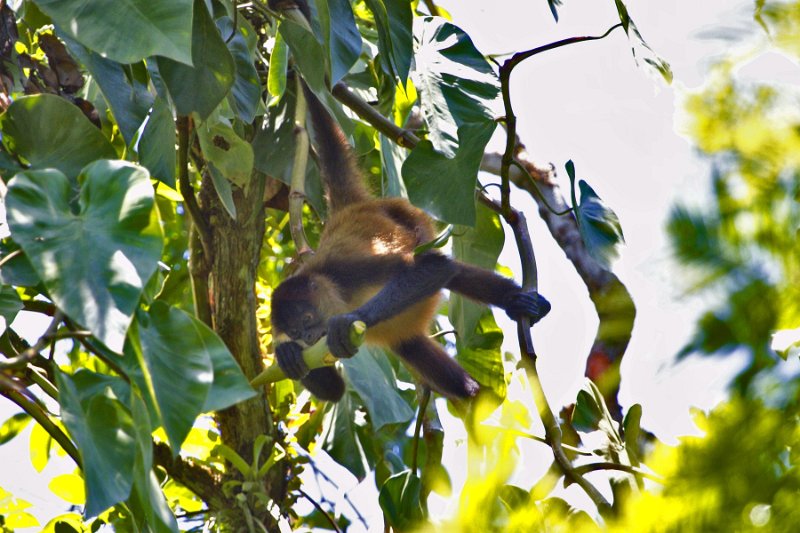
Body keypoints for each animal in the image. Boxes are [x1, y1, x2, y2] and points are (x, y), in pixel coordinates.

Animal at [270, 82, 552, 400]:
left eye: (307, 319)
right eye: (295, 332)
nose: (306, 337)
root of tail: (351, 208)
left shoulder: (346, 271)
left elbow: (432, 267)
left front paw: (349, 321)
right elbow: (335, 392)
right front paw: (287, 353)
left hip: (413, 220)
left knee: (446, 269)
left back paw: (519, 302)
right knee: (415, 347)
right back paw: (474, 394)